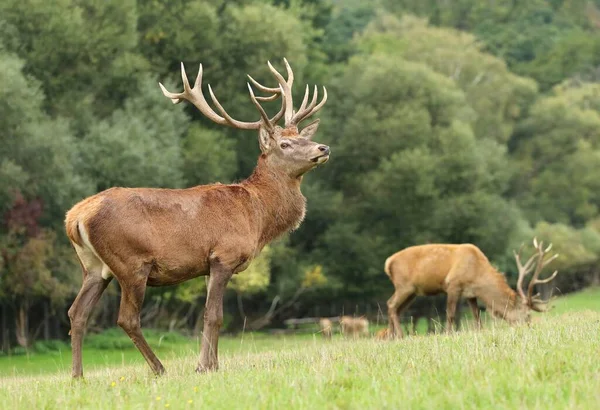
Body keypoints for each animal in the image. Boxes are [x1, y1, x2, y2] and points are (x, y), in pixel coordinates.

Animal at [64, 58, 332, 378]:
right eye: (285, 145)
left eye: (301, 136)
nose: (323, 147)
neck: (257, 216)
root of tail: (75, 217)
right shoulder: (224, 255)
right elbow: (214, 315)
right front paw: (205, 367)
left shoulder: (206, 265)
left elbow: (208, 315)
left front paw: (210, 363)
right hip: (131, 263)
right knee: (126, 318)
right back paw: (159, 369)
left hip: (94, 267)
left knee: (77, 312)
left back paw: (77, 376)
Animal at [384, 239, 556, 338]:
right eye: (527, 315)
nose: (530, 328)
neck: (477, 274)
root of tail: (388, 263)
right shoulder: (453, 284)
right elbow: (450, 314)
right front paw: (448, 334)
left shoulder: (470, 294)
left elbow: (477, 315)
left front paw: (480, 331)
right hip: (404, 285)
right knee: (391, 304)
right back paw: (400, 335)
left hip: (412, 292)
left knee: (395, 307)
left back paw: (391, 336)